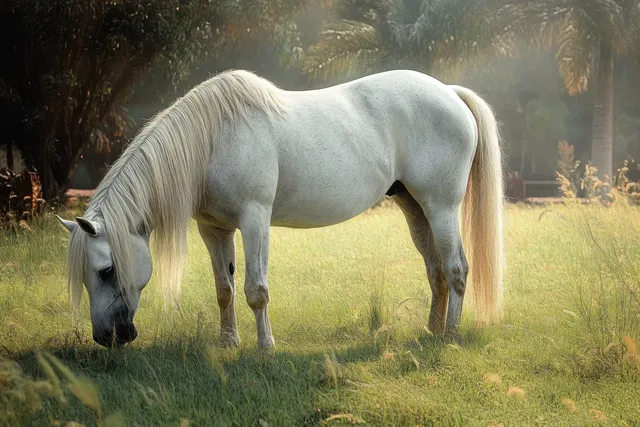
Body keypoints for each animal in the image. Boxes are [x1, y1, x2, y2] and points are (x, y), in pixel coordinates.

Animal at [57, 69, 504, 349]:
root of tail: (449, 91)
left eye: (106, 270)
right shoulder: (213, 229)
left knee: (456, 269)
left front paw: (265, 346)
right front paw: (228, 342)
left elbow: (256, 290)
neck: (212, 140)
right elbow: (224, 289)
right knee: (436, 271)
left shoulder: (254, 221)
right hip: (415, 207)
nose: (107, 338)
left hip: (441, 207)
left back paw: (449, 337)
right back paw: (431, 332)